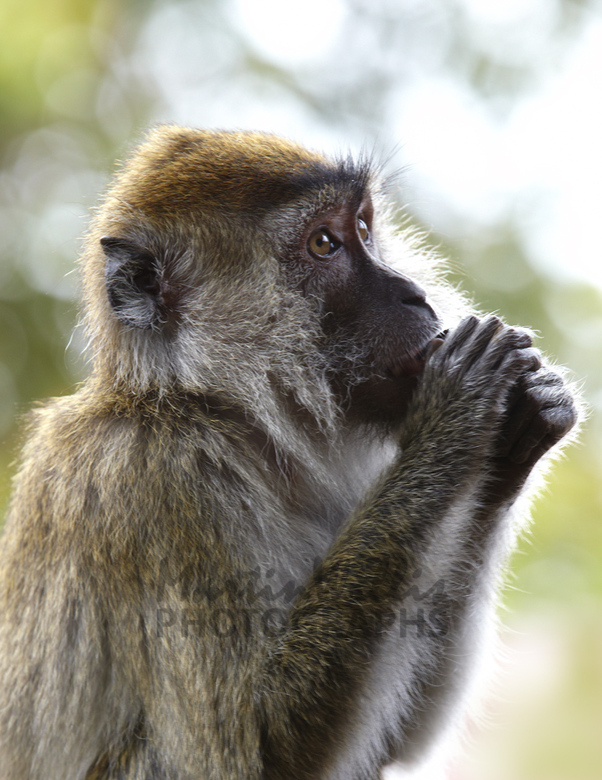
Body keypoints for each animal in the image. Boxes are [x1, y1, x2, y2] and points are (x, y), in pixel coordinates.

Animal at [0, 126, 578, 780]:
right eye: (324, 243)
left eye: (365, 227)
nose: (415, 294)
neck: (219, 414)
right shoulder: (161, 481)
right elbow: (258, 745)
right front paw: (455, 408)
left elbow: (397, 741)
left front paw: (516, 437)